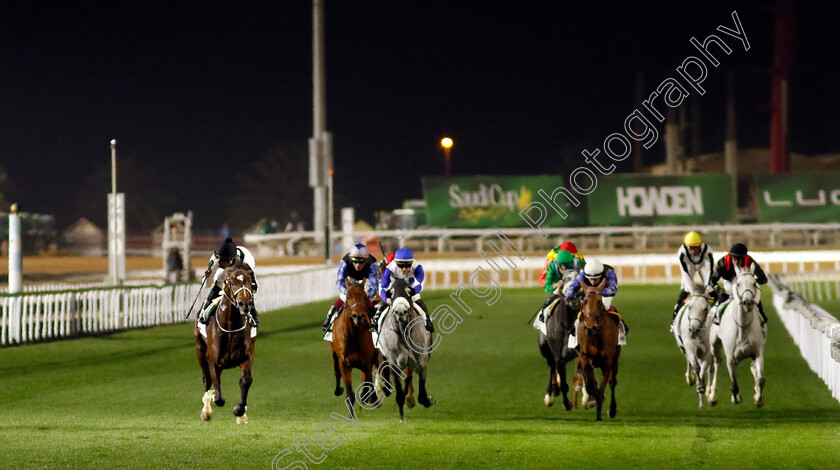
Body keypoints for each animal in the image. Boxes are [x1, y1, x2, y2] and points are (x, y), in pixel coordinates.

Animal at [194, 268, 254, 422]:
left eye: (250, 282)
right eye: (232, 282)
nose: (244, 304)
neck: (231, 327)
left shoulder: (246, 357)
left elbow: (246, 380)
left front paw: (240, 409)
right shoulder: (213, 361)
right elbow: (219, 398)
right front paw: (207, 410)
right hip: (200, 351)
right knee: (206, 379)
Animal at [330, 280, 378, 408]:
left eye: (365, 296)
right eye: (348, 296)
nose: (358, 316)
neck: (353, 336)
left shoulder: (367, 361)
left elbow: (366, 386)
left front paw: (369, 397)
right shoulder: (344, 363)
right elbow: (350, 395)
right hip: (334, 355)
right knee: (336, 372)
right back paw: (338, 390)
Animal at [576, 280, 620, 422]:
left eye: (600, 302)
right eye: (584, 301)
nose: (590, 326)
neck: (595, 336)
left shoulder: (607, 361)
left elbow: (601, 390)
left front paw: (599, 415)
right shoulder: (584, 357)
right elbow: (592, 383)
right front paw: (591, 400)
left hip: (616, 358)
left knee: (612, 382)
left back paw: (612, 409)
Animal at [708, 272, 768, 408]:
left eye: (754, 283)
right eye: (739, 284)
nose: (748, 302)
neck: (743, 326)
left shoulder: (758, 353)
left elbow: (761, 379)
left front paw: (759, 398)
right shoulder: (730, 358)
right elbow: (734, 384)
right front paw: (736, 398)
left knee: (753, 368)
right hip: (714, 345)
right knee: (717, 363)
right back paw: (712, 396)